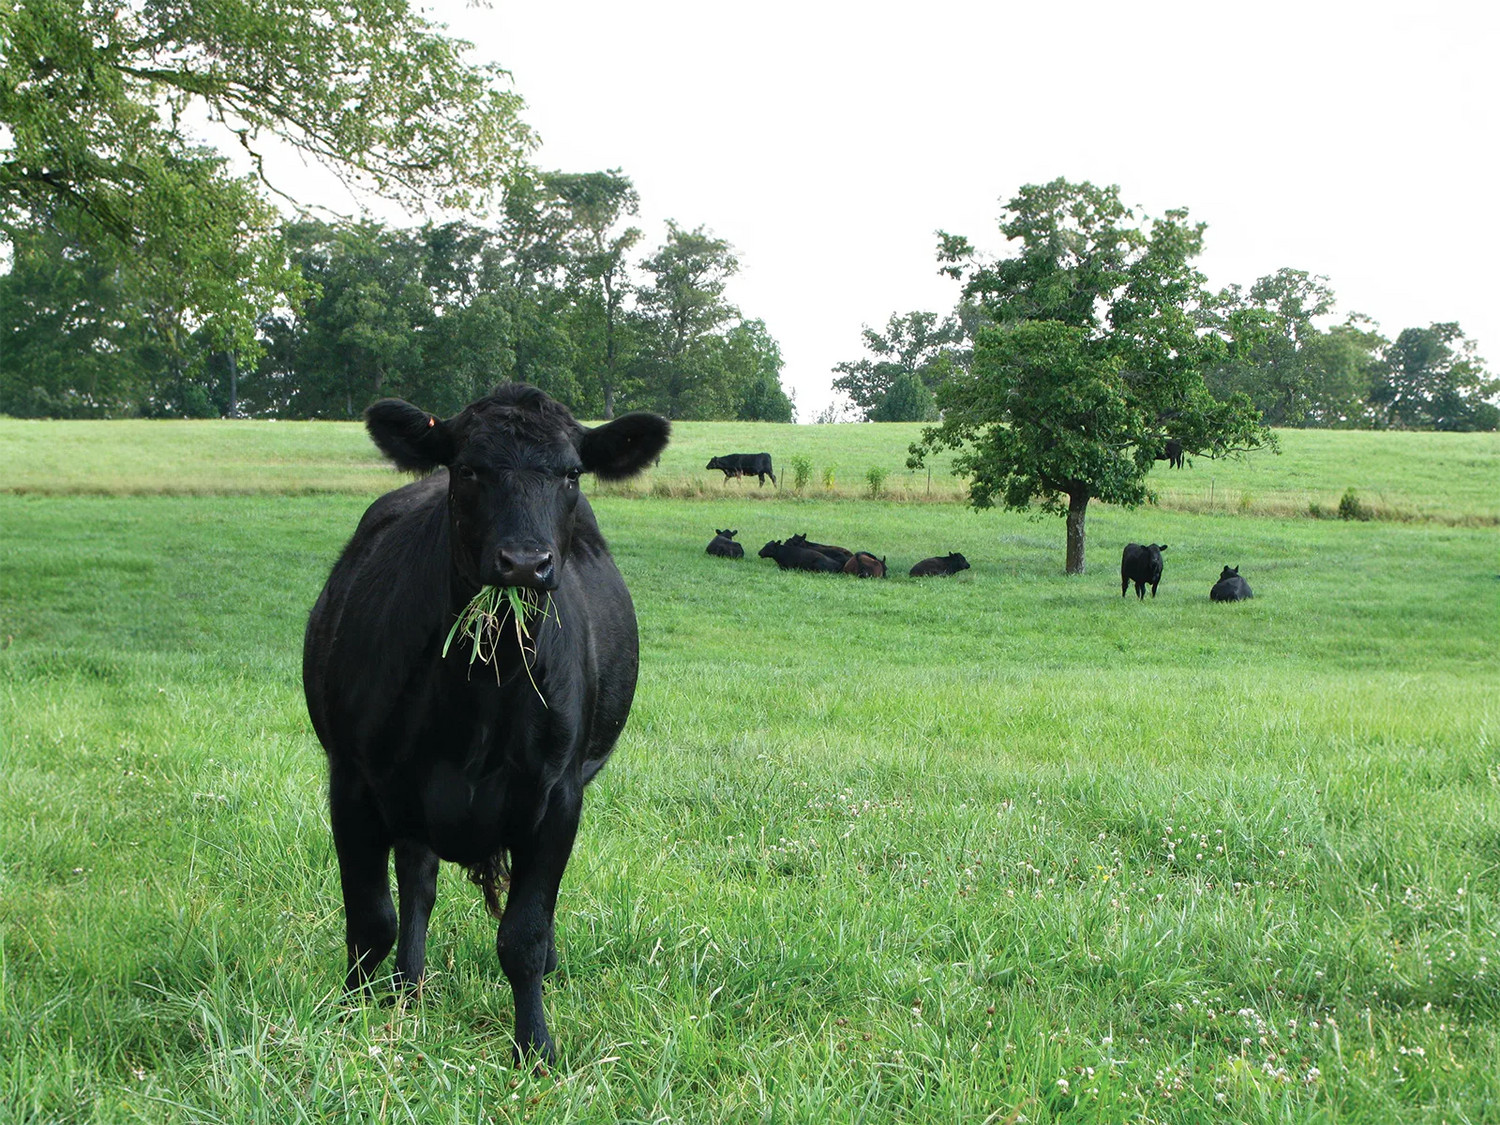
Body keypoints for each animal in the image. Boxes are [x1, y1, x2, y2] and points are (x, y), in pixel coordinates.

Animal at [302, 384, 670, 1065]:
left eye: (572, 474)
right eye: (469, 469)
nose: (524, 563)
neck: (480, 697)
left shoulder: (558, 797)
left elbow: (522, 934)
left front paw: (536, 1048)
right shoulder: (354, 782)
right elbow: (370, 920)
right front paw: (347, 1021)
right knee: (417, 884)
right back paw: (409, 984)